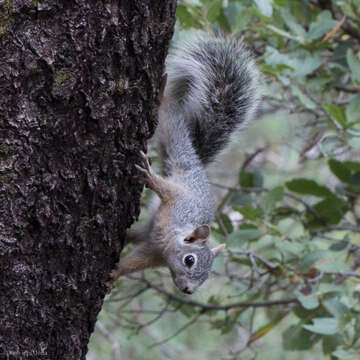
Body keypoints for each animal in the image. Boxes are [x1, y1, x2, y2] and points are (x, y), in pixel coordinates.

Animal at [107, 33, 258, 294]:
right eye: (190, 260)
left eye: (206, 275)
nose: (189, 290)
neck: (175, 233)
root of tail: (196, 161)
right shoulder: (179, 201)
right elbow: (166, 189)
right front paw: (149, 176)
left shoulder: (154, 251)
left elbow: (136, 261)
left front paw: (117, 273)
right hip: (175, 137)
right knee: (169, 114)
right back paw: (160, 94)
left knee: (136, 234)